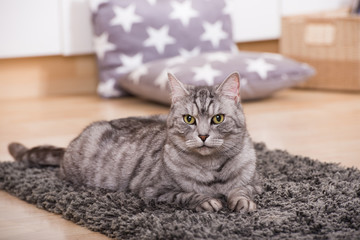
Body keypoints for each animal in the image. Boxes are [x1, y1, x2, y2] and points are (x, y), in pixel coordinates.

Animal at [8, 72, 260, 212]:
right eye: (189, 119)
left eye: (218, 118)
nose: (204, 135)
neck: (212, 169)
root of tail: (70, 145)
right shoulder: (153, 190)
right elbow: (186, 194)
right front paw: (207, 201)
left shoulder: (254, 182)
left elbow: (242, 189)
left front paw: (242, 202)